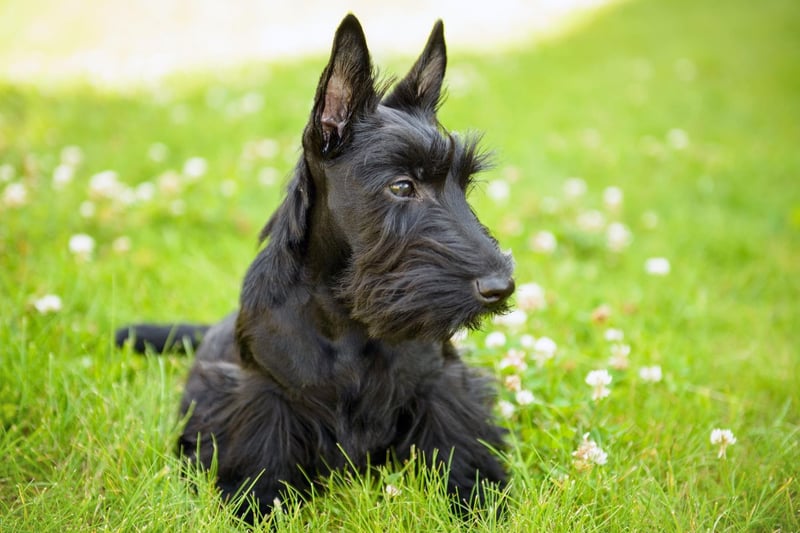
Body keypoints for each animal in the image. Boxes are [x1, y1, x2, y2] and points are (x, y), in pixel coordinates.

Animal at [122, 15, 516, 520]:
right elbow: (261, 460)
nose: (502, 286)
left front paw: (477, 499)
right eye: (401, 185)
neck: (346, 317)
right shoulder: (264, 395)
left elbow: (457, 446)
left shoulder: (440, 384)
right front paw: (255, 506)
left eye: (463, 184)